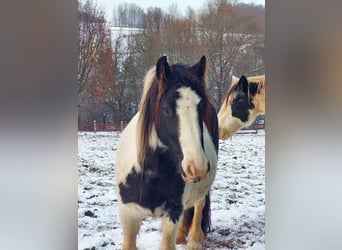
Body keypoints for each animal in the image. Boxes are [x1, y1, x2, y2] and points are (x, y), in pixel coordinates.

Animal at [115, 55, 219, 249]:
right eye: (166, 109)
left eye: (201, 107)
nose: (197, 167)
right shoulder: (128, 215)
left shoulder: (173, 212)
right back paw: (182, 235)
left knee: (199, 205)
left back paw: (194, 239)